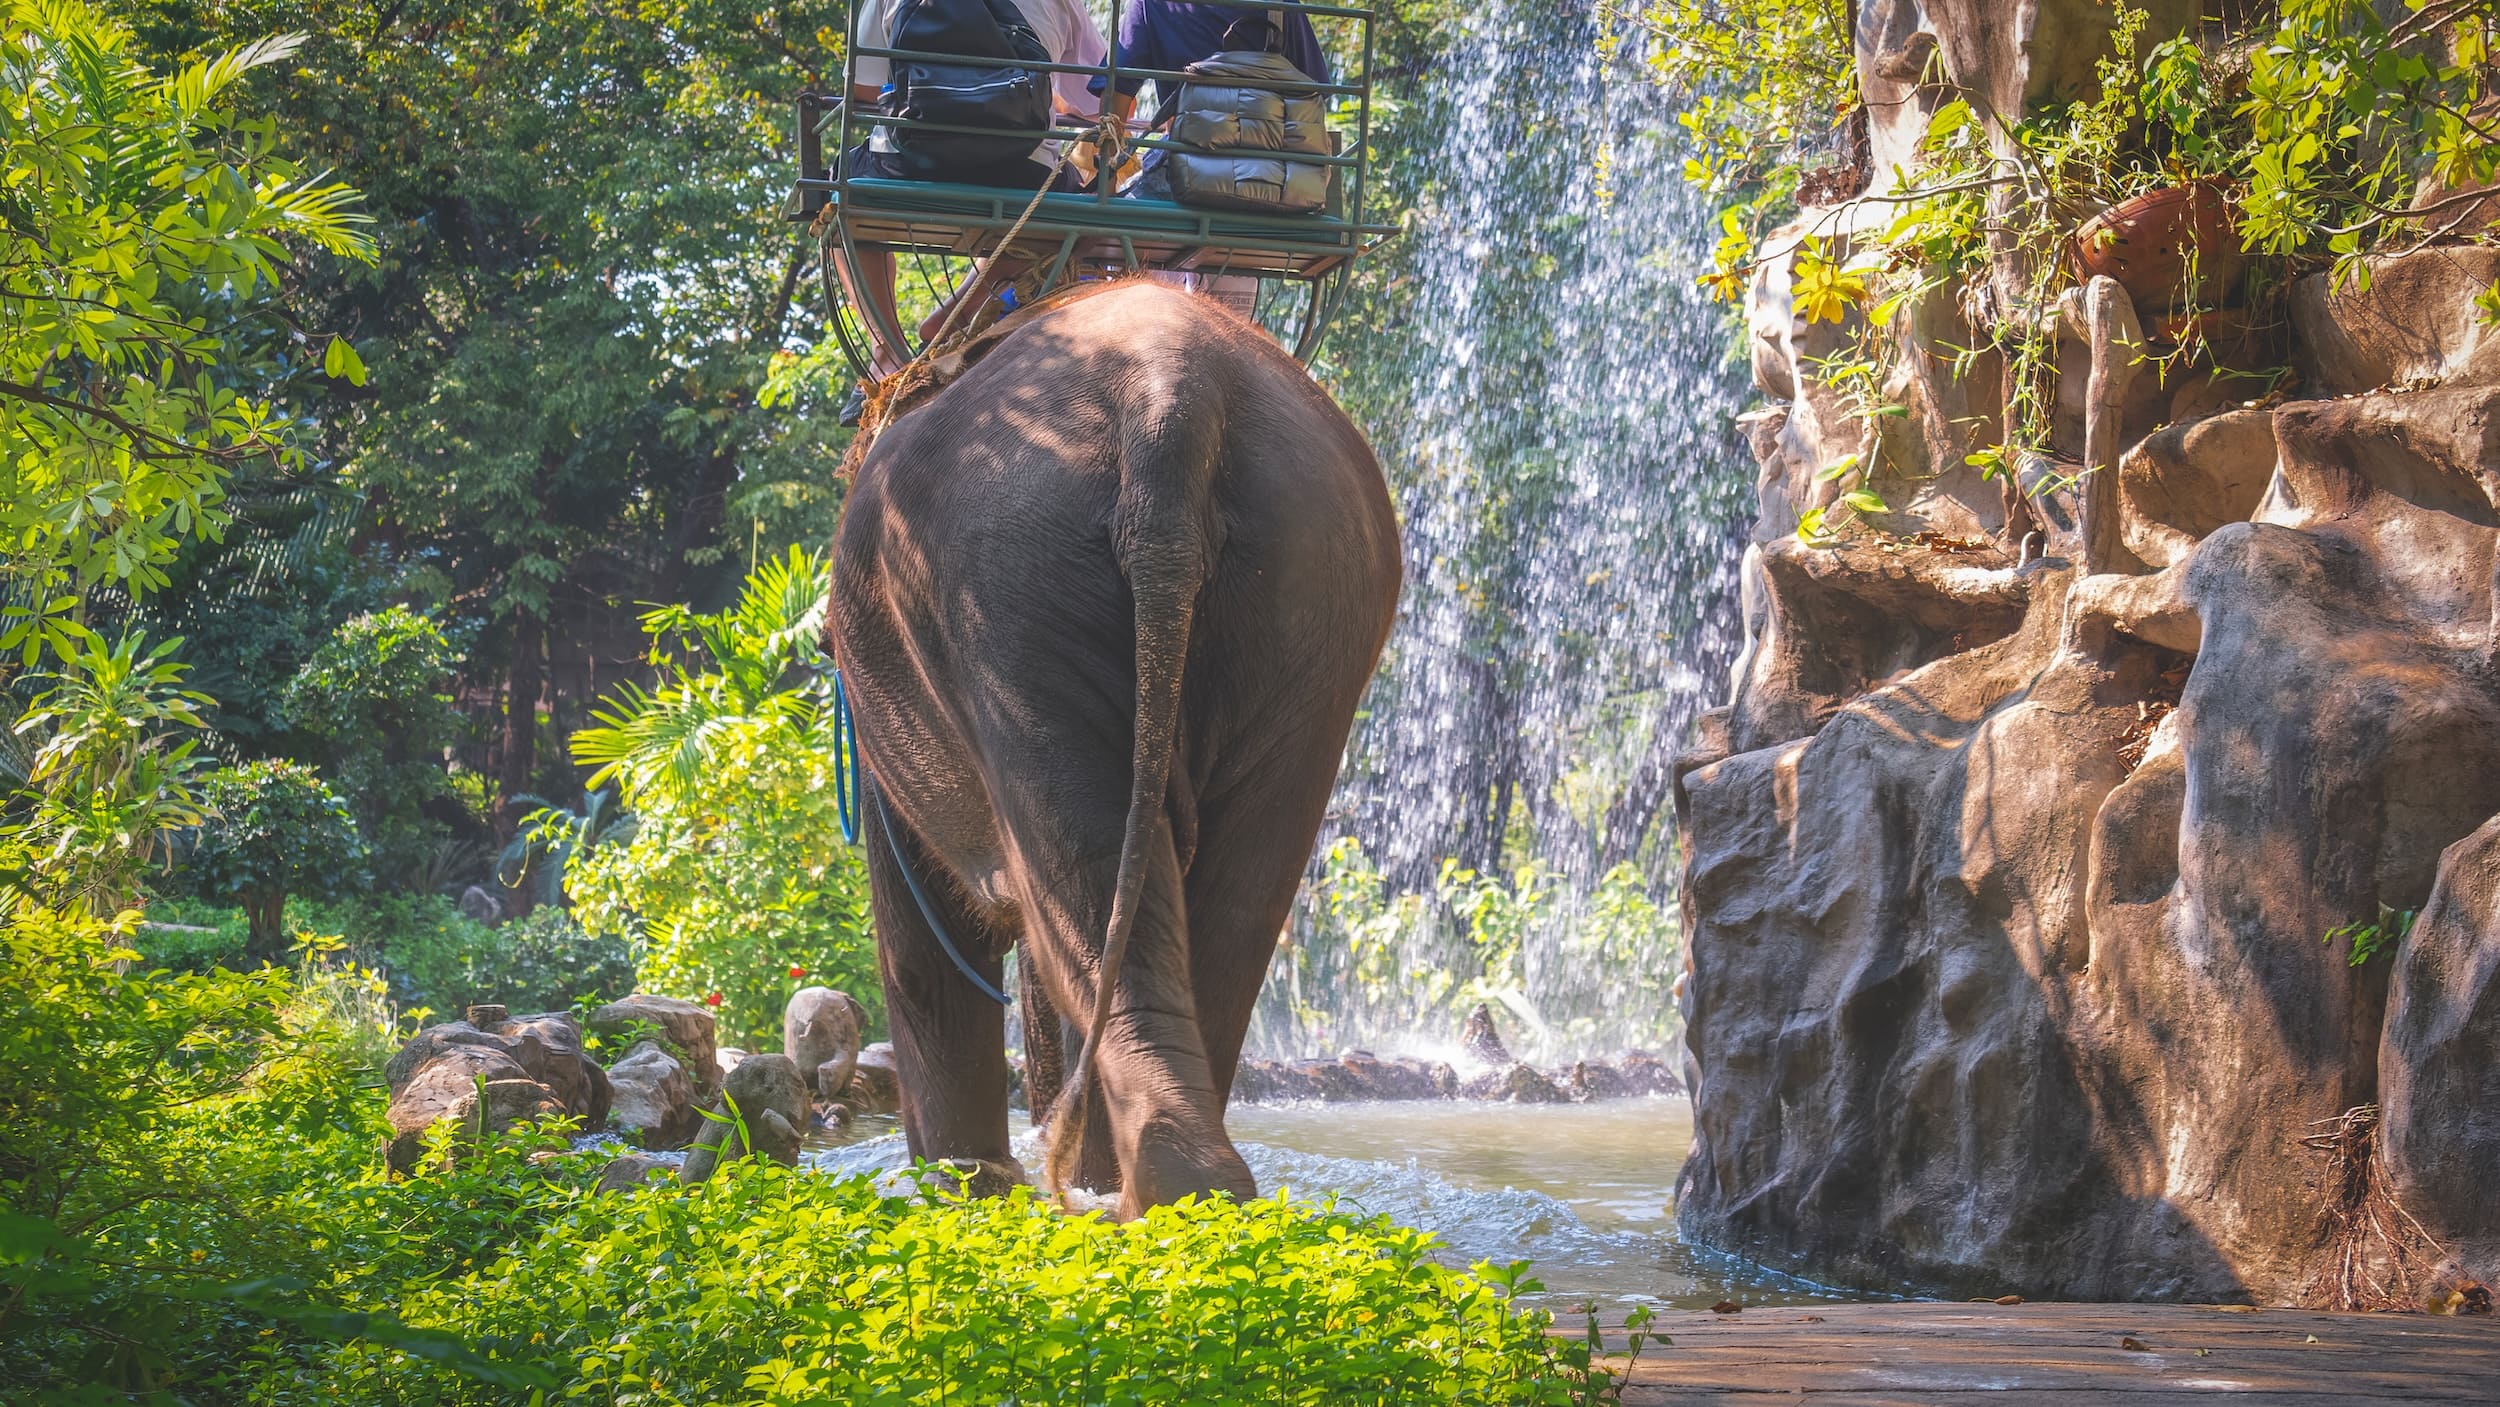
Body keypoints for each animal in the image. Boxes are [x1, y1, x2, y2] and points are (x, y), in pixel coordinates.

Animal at [826, 279, 1400, 1216]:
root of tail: (1172, 398)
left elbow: (918, 952)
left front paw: (961, 1189)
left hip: (1007, 595)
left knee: (1083, 876)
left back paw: (1135, 1190)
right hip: (1316, 595)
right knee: (1235, 903)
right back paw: (1177, 1193)